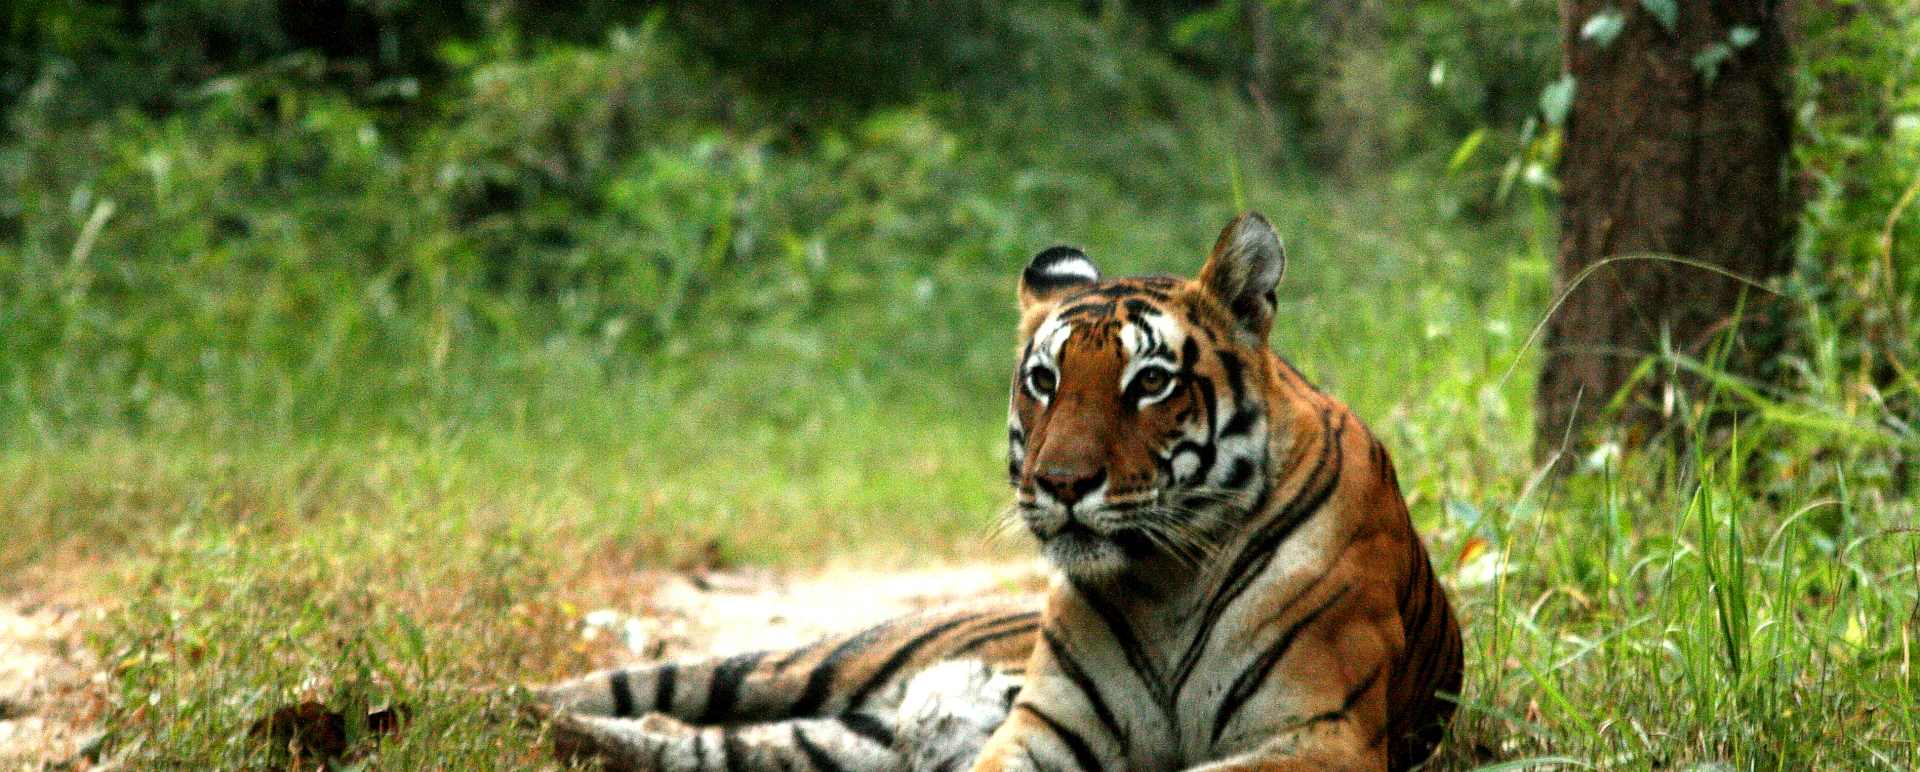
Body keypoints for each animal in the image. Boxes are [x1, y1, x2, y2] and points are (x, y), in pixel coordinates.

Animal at [532, 211, 1463, 771]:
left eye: (1150, 383)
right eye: (1044, 380)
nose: (1062, 483)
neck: (1167, 581)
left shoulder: (1317, 733)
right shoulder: (1044, 730)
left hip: (850, 731)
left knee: (712, 744)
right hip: (821, 660)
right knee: (661, 688)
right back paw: (531, 704)